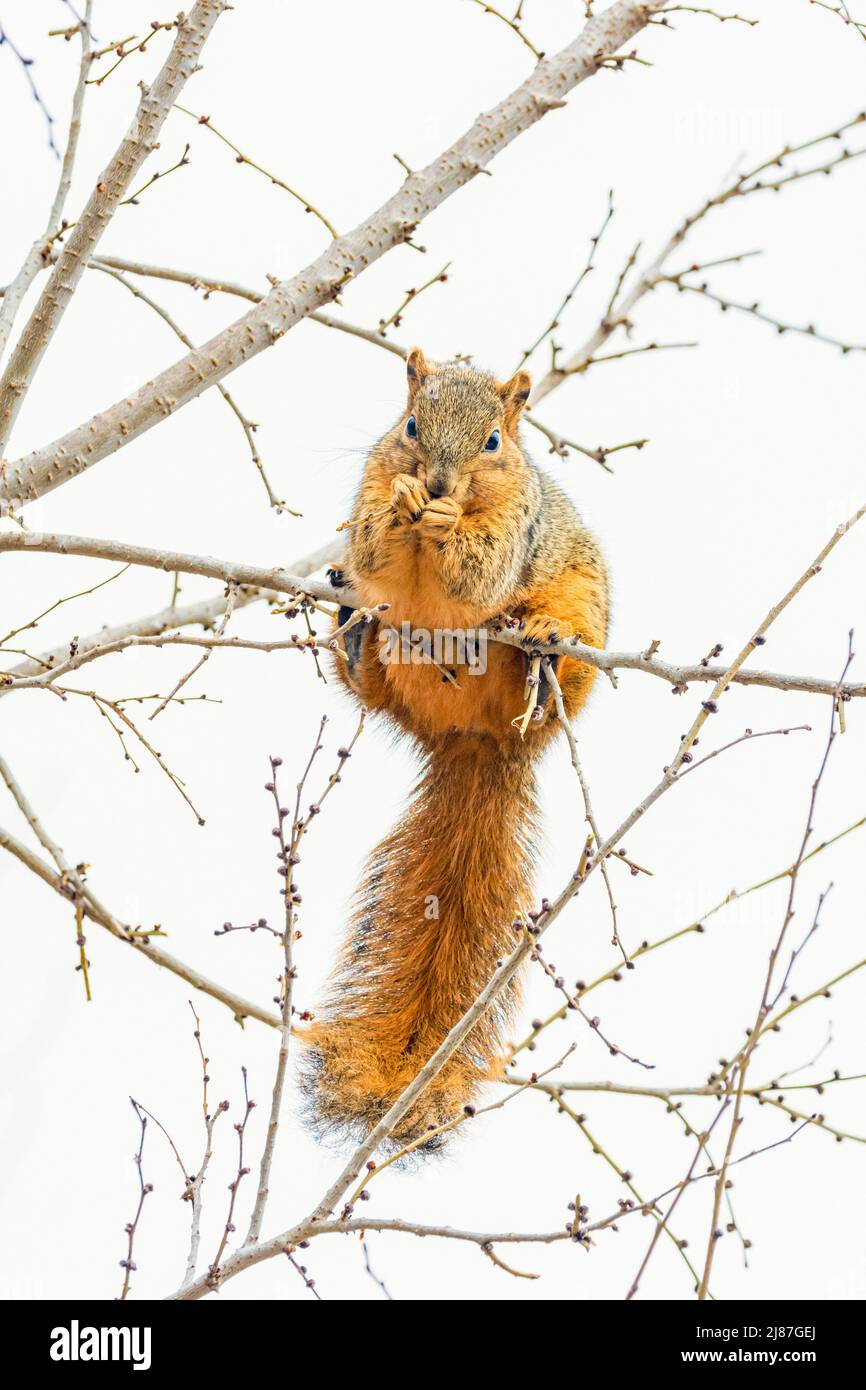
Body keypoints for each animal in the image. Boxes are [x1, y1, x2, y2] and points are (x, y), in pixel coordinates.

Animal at [299, 348, 608, 1151]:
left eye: (495, 441)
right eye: (411, 424)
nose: (437, 483)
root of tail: (478, 742)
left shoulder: (515, 529)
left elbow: (481, 567)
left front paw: (444, 522)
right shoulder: (372, 483)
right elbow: (372, 539)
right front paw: (405, 502)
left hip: (579, 619)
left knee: (558, 660)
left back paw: (544, 658)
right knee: (372, 674)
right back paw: (354, 640)